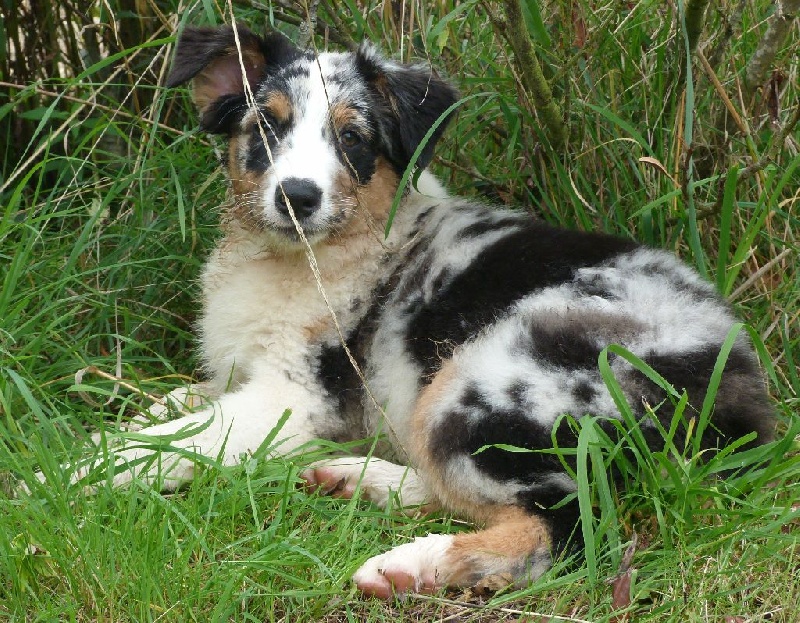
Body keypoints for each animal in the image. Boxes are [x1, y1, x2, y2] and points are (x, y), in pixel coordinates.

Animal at [55, 24, 775, 598]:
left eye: (352, 137)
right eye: (267, 125)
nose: (297, 196)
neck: (307, 255)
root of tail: (745, 399)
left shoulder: (293, 398)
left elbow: (158, 444)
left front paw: (58, 477)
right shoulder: (246, 373)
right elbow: (170, 408)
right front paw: (105, 426)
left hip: (484, 379)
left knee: (572, 524)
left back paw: (410, 563)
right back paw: (356, 478)